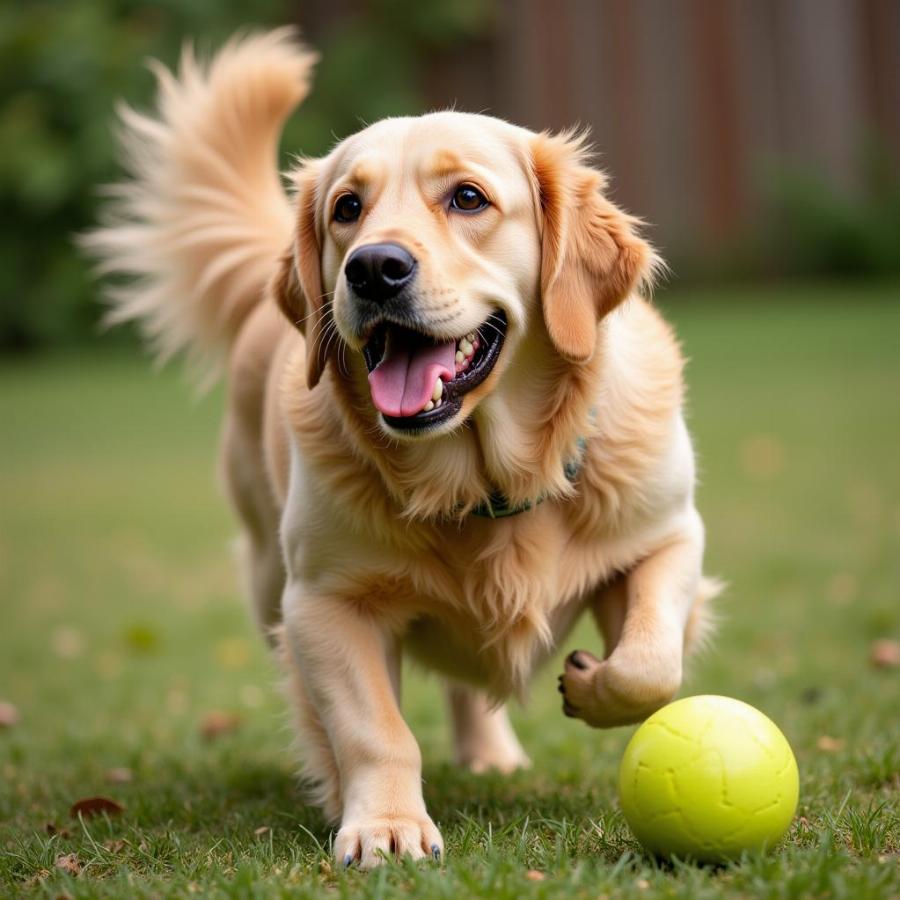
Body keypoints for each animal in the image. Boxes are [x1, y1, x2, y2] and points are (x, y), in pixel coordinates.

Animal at [82, 31, 716, 868]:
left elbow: (650, 664)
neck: (484, 482)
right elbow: (373, 730)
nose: (373, 267)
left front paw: (591, 682)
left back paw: (492, 753)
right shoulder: (322, 603)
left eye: (469, 198)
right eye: (347, 208)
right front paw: (385, 823)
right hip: (266, 574)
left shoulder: (670, 536)